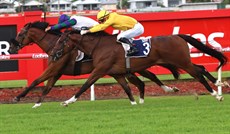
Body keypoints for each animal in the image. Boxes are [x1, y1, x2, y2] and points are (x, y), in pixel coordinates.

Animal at [9, 21, 181, 108]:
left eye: (20, 33)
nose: (11, 48)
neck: (54, 46)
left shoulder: (54, 68)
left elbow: (36, 81)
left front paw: (17, 97)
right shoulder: (57, 71)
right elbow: (47, 87)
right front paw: (37, 104)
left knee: (149, 78)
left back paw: (168, 89)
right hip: (122, 71)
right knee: (141, 82)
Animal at [54, 30, 228, 105]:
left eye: (61, 41)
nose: (54, 54)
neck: (99, 47)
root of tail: (177, 36)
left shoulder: (99, 70)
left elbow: (85, 85)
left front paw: (68, 101)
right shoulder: (117, 73)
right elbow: (126, 87)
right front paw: (134, 103)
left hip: (182, 61)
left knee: (198, 74)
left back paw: (217, 95)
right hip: (182, 61)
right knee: (201, 68)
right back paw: (220, 84)